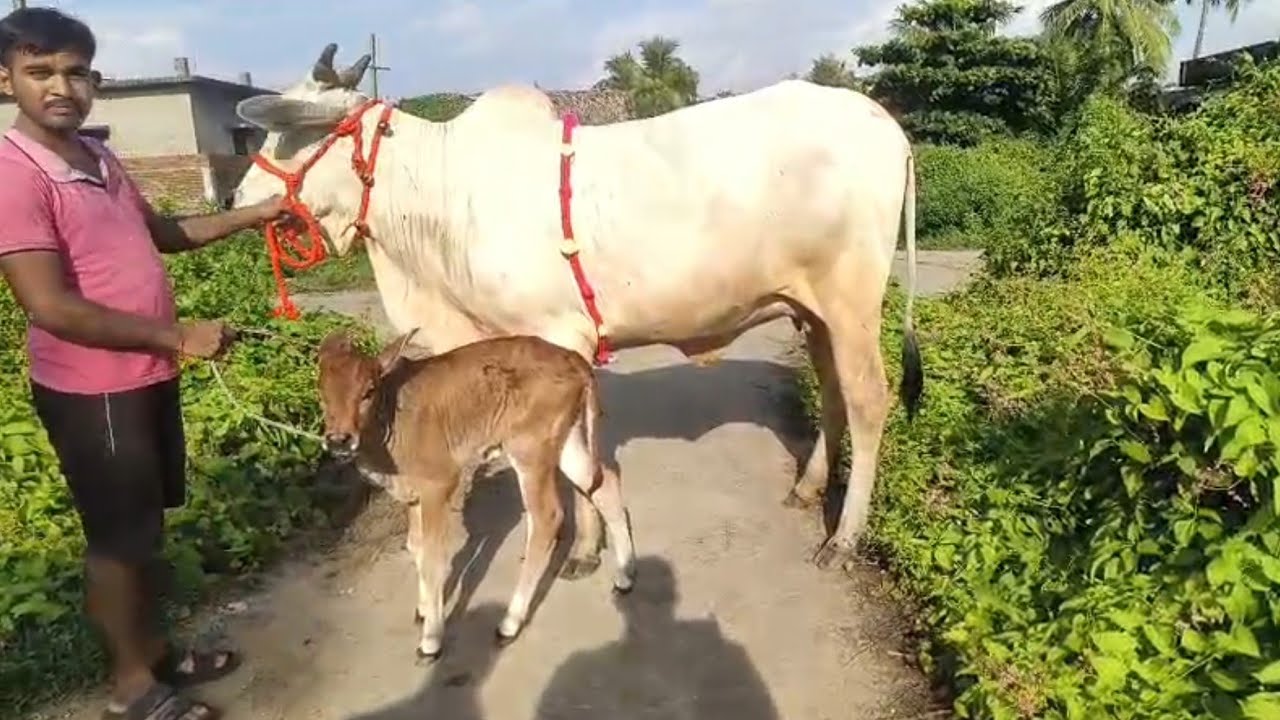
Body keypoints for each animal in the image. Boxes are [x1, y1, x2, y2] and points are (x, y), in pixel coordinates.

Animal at [233, 43, 922, 574]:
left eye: (290, 134)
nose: (238, 196)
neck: (441, 197)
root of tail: (886, 124)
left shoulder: (558, 337)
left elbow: (574, 459)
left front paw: (586, 549)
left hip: (852, 301)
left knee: (868, 400)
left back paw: (844, 538)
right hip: (813, 311)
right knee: (832, 392)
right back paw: (808, 488)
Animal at [316, 328, 636, 658]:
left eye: (368, 391)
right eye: (321, 391)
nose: (339, 439)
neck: (392, 417)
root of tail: (572, 358)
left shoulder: (439, 485)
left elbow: (433, 557)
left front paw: (431, 637)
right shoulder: (413, 495)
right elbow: (414, 546)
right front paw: (423, 609)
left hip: (529, 450)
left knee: (547, 517)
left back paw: (509, 622)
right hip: (566, 442)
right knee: (604, 483)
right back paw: (625, 575)